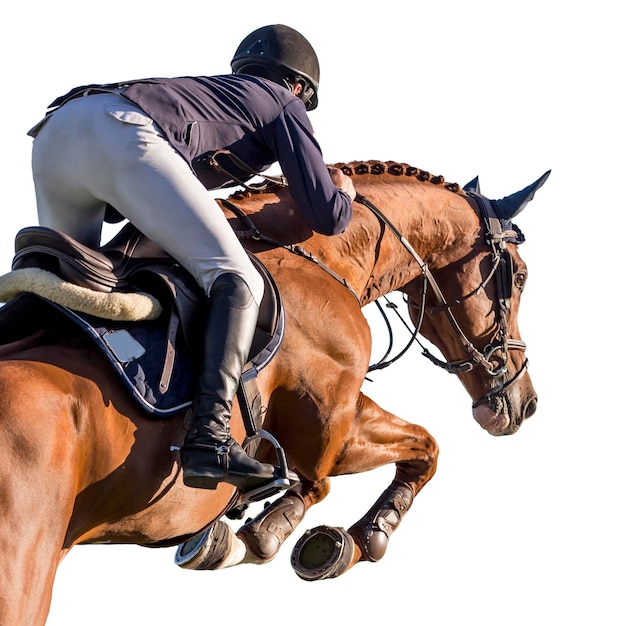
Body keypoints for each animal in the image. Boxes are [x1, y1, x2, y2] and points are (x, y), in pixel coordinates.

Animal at [0, 160, 544, 620]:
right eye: (518, 276)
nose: (526, 404)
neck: (319, 258)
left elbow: (422, 448)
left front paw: (353, 537)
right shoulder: (328, 425)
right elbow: (365, 466)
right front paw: (311, 538)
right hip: (24, 573)